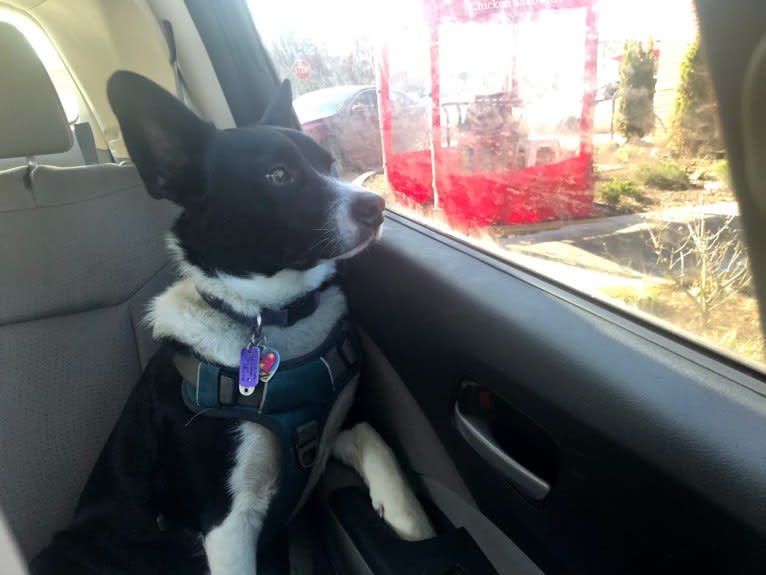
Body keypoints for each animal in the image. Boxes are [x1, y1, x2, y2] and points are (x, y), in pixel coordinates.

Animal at [30, 73, 436, 575]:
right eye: (278, 175)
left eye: (329, 163)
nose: (377, 205)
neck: (271, 316)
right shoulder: (228, 522)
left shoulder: (332, 429)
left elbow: (374, 440)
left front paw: (409, 519)